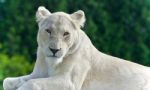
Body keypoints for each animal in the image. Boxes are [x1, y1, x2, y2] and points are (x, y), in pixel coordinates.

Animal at [2, 5, 150, 89]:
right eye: (48, 31)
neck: (51, 63)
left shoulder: (69, 82)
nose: (54, 50)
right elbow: (7, 81)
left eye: (66, 33)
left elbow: (32, 83)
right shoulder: (38, 74)